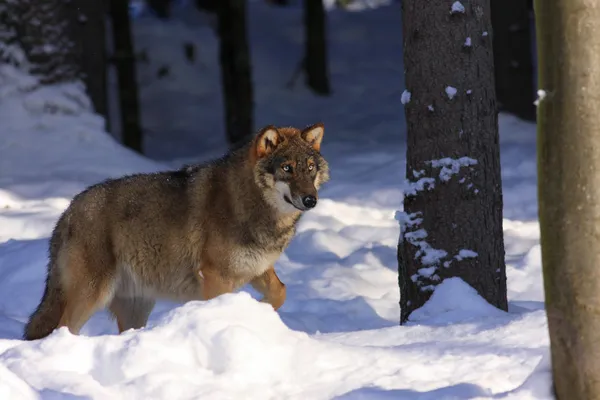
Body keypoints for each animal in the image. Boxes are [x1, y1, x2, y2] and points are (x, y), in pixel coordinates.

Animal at [23, 122, 330, 340]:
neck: (248, 203)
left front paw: (261, 309)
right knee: (61, 328)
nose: (310, 200)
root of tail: (68, 211)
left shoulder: (256, 268)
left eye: (310, 168)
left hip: (135, 309)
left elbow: (281, 291)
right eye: (287, 168)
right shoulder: (215, 277)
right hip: (91, 296)